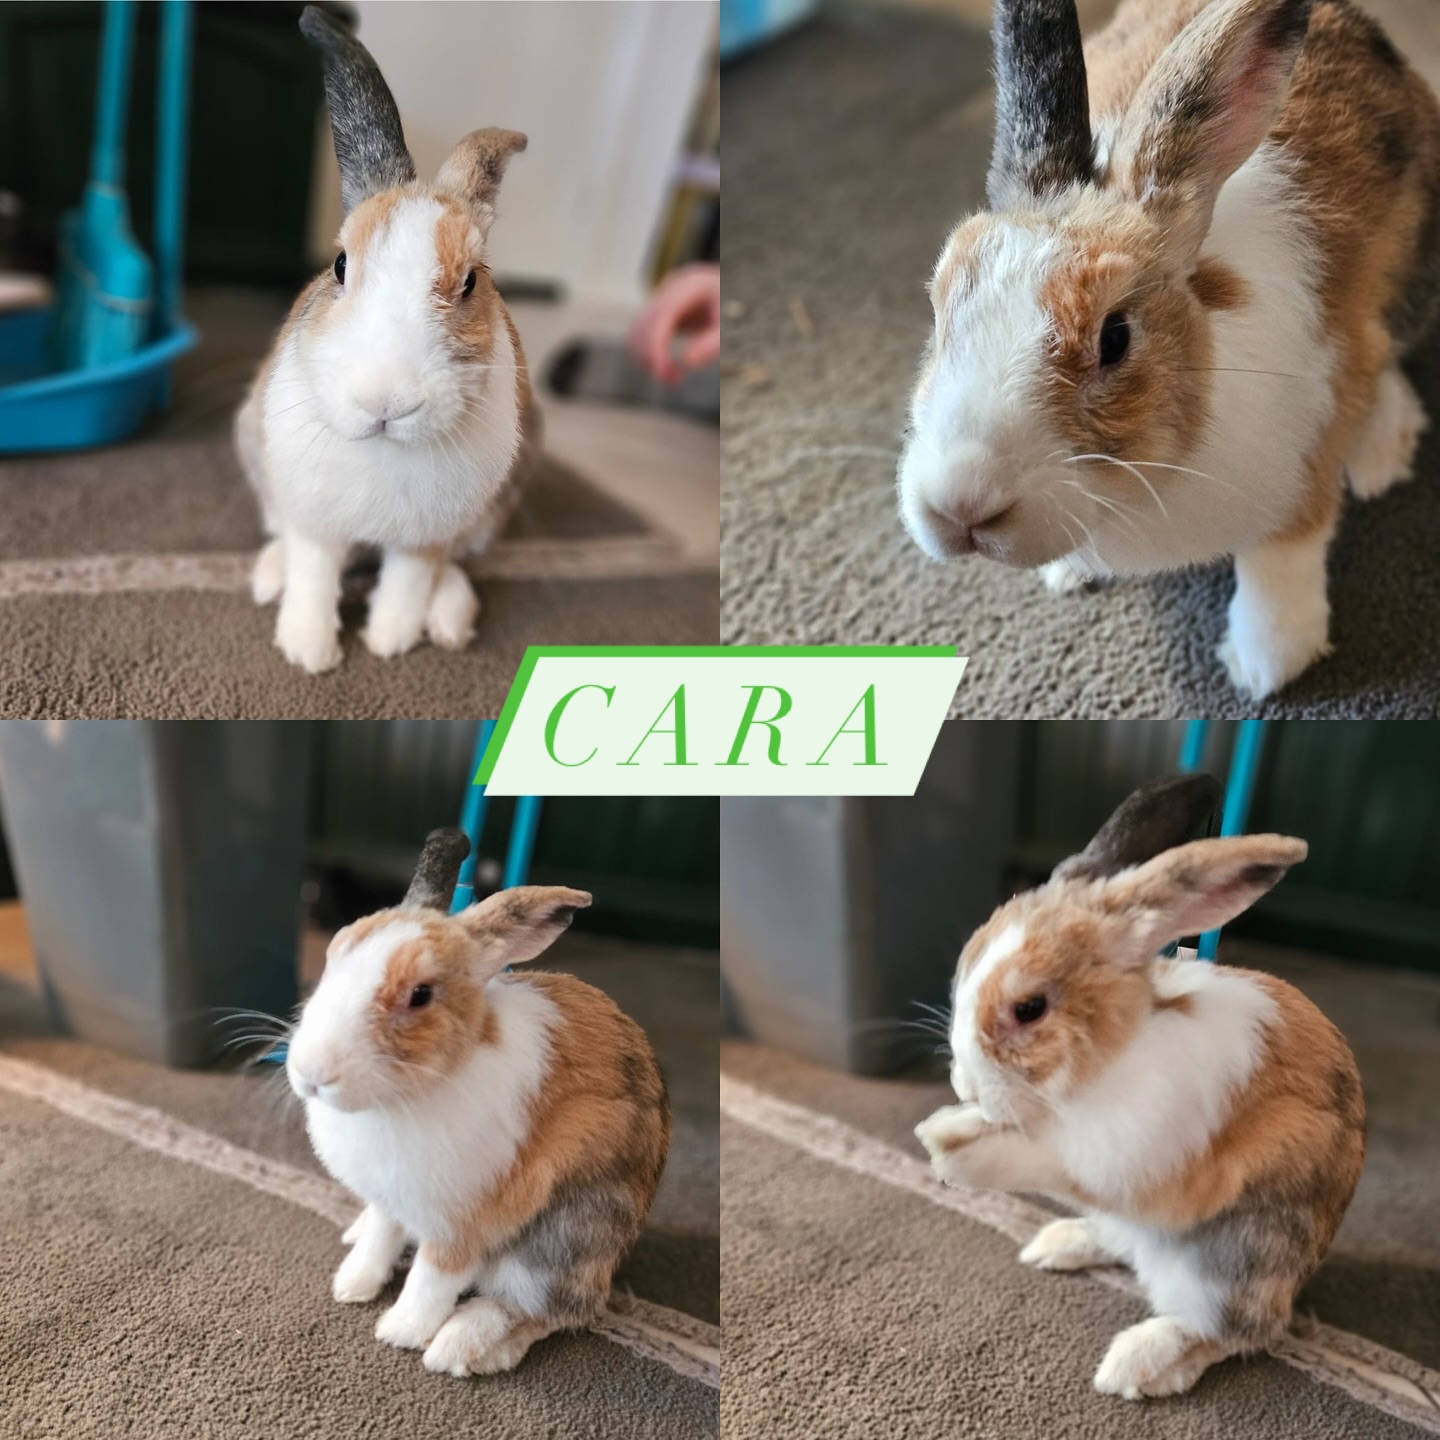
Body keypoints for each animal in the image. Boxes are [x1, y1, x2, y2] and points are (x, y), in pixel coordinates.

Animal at [234, 7, 540, 674]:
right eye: (339, 266)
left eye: (471, 282)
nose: (386, 400)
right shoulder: (315, 521)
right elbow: (315, 574)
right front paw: (309, 652)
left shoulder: (424, 538)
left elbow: (408, 580)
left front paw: (391, 641)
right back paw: (267, 579)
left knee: (453, 568)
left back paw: (449, 621)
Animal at [286, 829, 671, 1377]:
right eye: (333, 955)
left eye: (421, 995)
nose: (311, 1074)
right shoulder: (390, 1197)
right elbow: (381, 1236)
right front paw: (352, 1285)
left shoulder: (466, 1221)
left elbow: (433, 1279)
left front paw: (399, 1332)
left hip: (563, 1238)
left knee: (554, 1310)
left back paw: (461, 1347)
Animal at [897, 0, 1440, 700]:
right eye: (941, 306)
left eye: (1115, 338)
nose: (960, 505)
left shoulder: (1308, 447)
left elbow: (1283, 556)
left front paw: (1265, 666)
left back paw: (1380, 456)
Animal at [914, 775, 1365, 1400]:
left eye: (1029, 1009)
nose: (967, 1087)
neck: (1113, 1057)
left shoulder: (1136, 1158)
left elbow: (1046, 1158)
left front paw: (947, 1143)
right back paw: (1057, 1246)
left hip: (1228, 1264)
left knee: (1242, 1330)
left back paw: (1138, 1364)